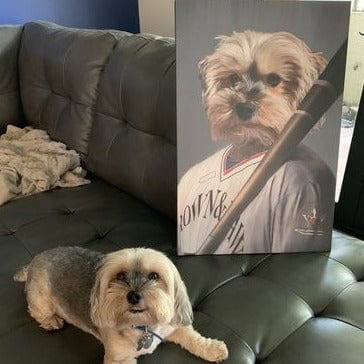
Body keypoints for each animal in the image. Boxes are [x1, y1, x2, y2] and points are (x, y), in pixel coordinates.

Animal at [0, 20, 364, 364]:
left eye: (154, 276)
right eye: (120, 277)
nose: (134, 296)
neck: (144, 326)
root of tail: (37, 260)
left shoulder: (173, 325)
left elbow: (193, 335)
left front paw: (214, 348)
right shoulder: (119, 357)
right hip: (40, 296)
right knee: (38, 309)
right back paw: (49, 320)